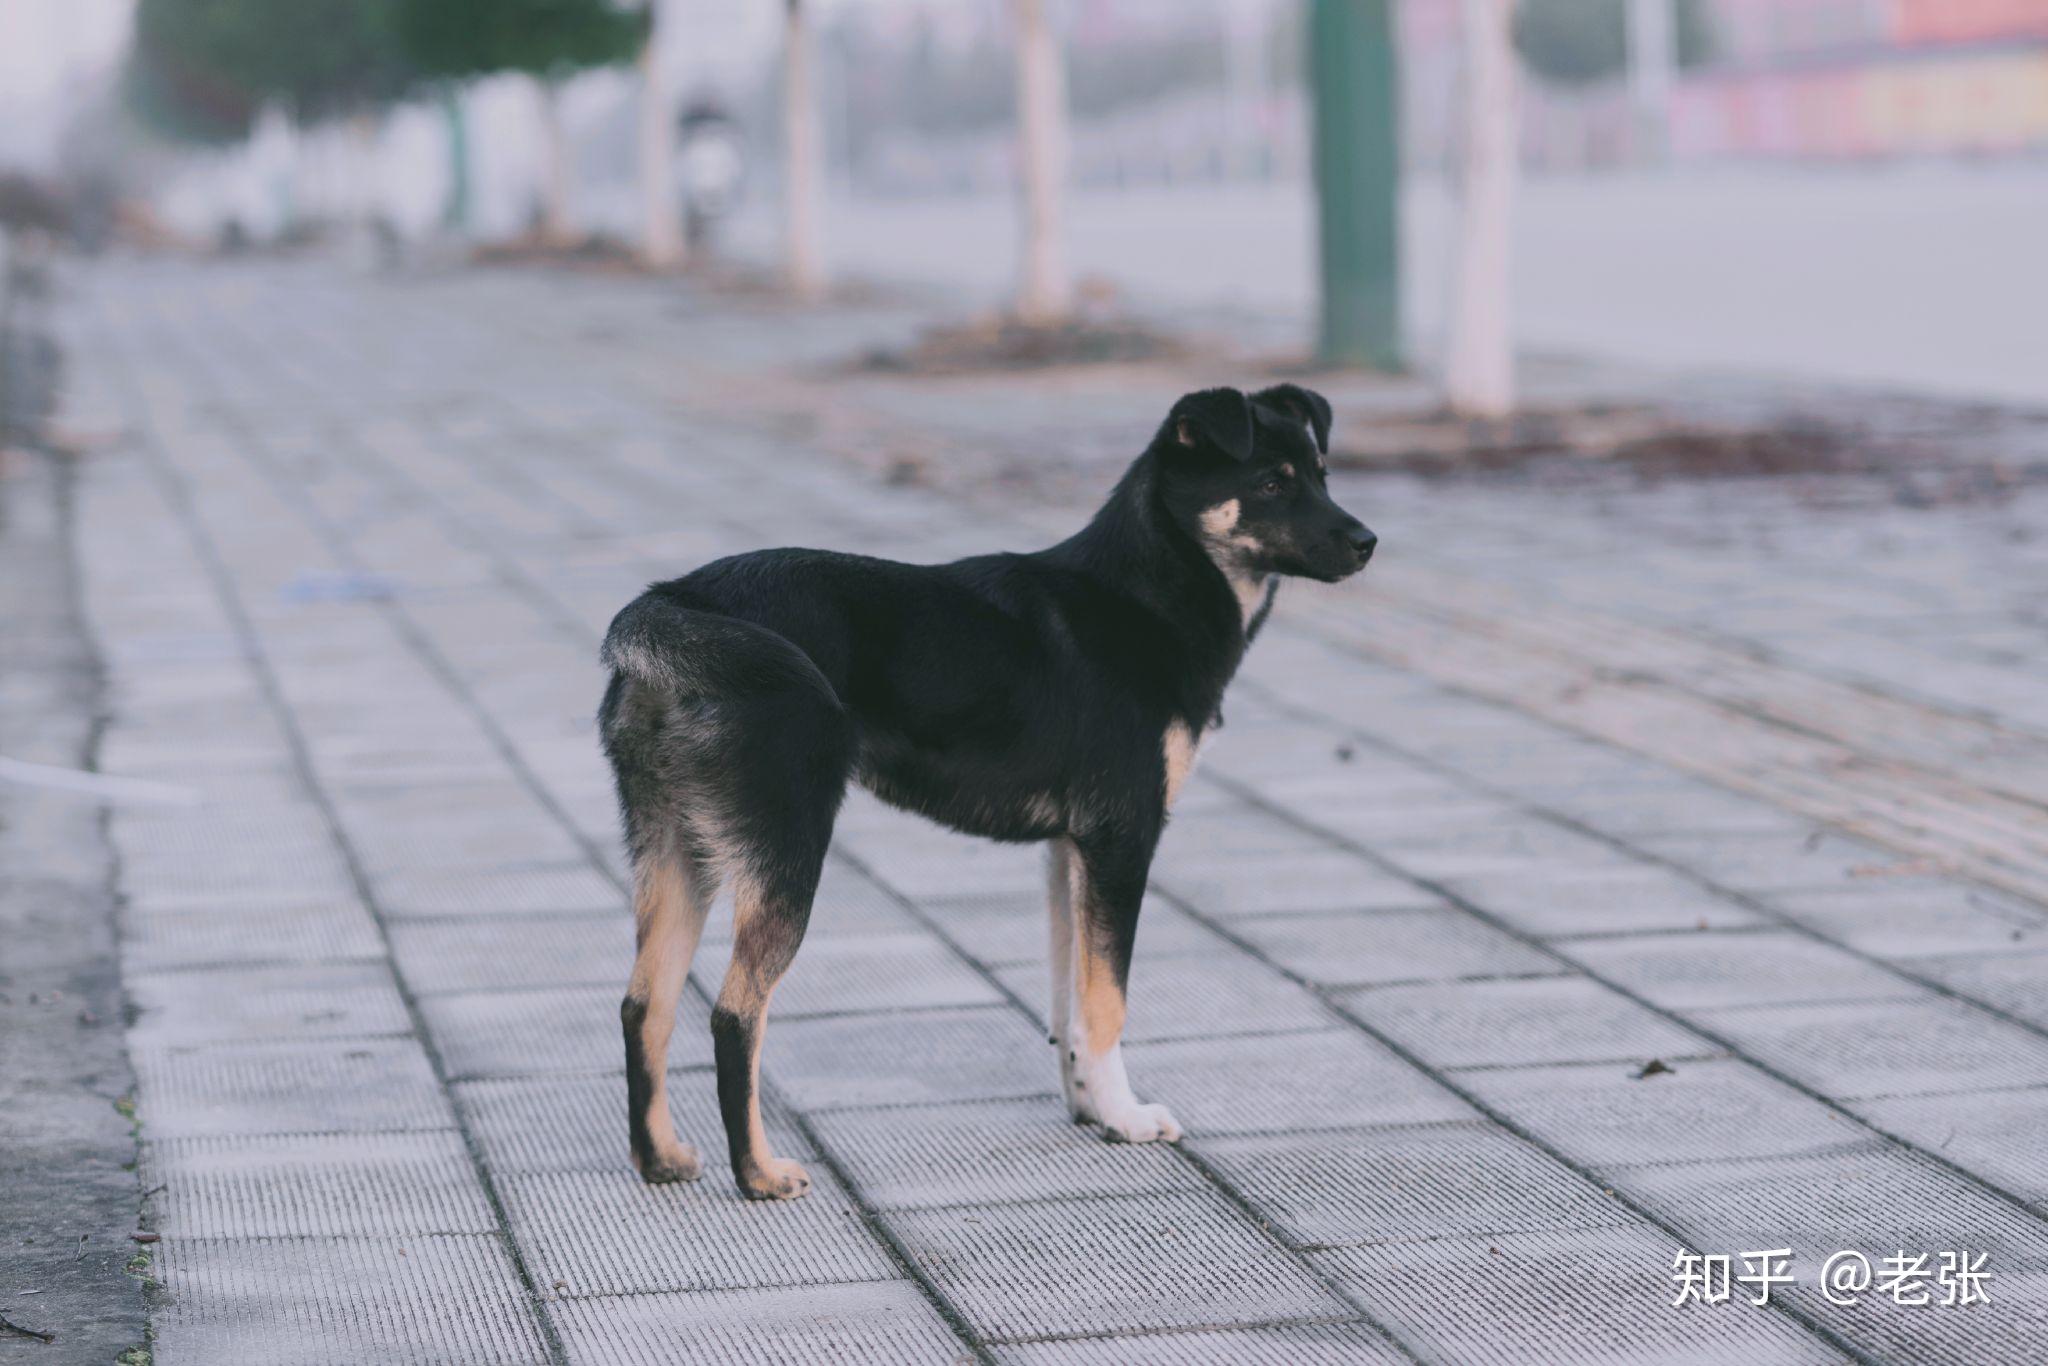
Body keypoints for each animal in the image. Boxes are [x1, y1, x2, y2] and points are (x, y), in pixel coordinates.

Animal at [598, 383, 1375, 1199]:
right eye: (1271, 484)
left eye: (1322, 473)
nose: (1367, 542)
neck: (1145, 590)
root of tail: (676, 600)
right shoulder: (1122, 839)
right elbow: (1108, 1002)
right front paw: (1126, 1118)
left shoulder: (1071, 852)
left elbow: (1070, 1001)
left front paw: (1090, 1107)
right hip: (787, 851)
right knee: (735, 1013)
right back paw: (759, 1174)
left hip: (678, 851)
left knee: (644, 1003)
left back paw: (660, 1158)